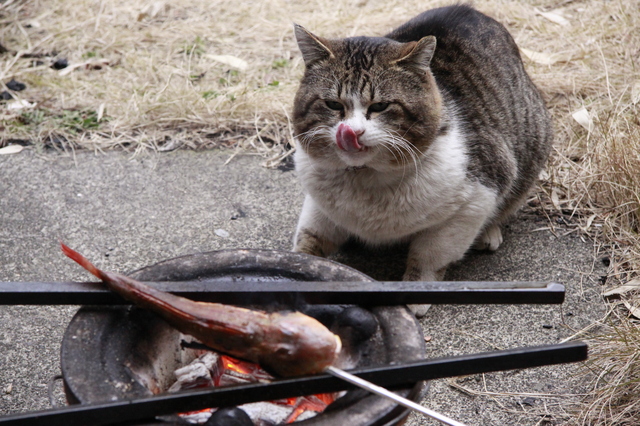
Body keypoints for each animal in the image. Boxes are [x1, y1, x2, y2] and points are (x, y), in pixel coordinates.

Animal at [292, 4, 552, 296]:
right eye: (333, 104)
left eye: (380, 106)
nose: (352, 132)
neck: (365, 179)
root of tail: (473, 10)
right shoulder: (320, 206)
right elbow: (308, 241)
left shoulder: (476, 199)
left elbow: (430, 257)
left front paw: (414, 294)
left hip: (532, 143)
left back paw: (489, 232)